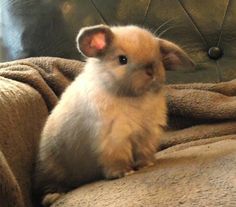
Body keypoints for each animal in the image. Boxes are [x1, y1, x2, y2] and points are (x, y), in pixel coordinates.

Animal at [33, 24, 195, 205]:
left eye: (158, 57)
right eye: (122, 59)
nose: (150, 70)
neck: (133, 98)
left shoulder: (146, 134)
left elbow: (143, 152)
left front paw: (147, 165)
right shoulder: (114, 137)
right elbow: (117, 158)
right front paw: (124, 172)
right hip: (52, 168)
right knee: (49, 186)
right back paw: (53, 196)